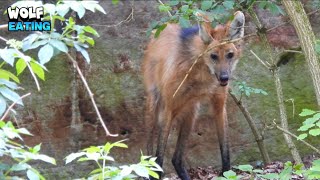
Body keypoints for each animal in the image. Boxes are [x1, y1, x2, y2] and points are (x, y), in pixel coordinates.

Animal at [142, 11, 245, 180]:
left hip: (191, 112)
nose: (224, 78)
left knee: (176, 158)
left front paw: (225, 173)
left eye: (230, 55)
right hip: (155, 105)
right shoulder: (169, 107)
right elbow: (159, 157)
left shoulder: (219, 104)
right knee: (150, 154)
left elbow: (225, 151)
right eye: (213, 56)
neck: (202, 74)